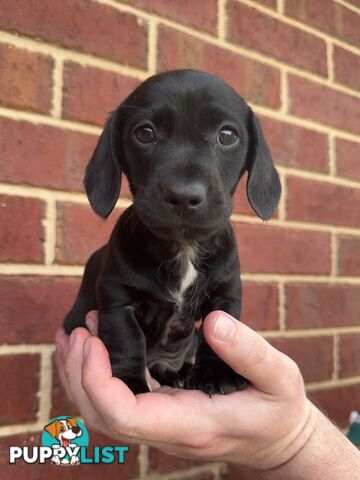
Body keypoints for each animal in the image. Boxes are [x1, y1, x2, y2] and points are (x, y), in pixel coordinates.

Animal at [65, 69, 284, 396]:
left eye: (227, 135)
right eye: (145, 133)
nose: (184, 195)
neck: (183, 247)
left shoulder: (226, 297)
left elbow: (213, 336)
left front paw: (215, 372)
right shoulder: (117, 299)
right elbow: (127, 338)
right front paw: (129, 380)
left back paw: (176, 374)